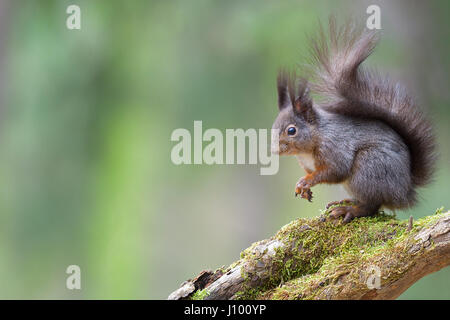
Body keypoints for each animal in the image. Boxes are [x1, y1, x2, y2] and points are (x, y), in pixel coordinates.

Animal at [270, 18, 436, 222]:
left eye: (291, 130)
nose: (274, 150)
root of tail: (406, 191)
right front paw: (303, 189)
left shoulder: (334, 148)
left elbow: (334, 170)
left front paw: (306, 181)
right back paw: (348, 202)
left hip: (368, 168)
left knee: (372, 205)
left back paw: (350, 210)